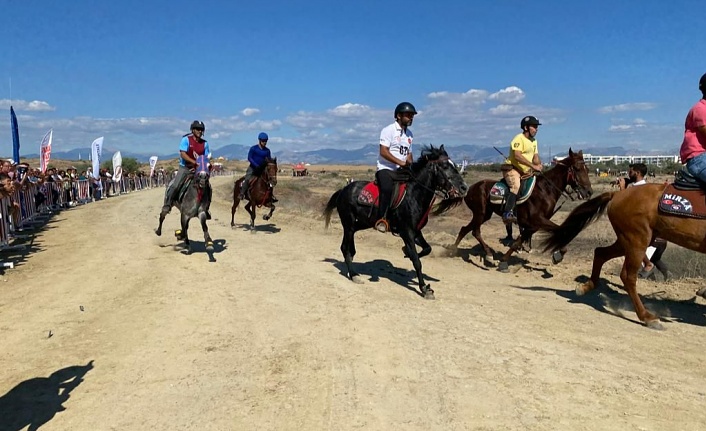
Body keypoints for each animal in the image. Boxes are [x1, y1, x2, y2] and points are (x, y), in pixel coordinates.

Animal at [324, 145, 468, 300]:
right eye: (445, 166)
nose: (464, 187)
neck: (414, 195)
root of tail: (343, 190)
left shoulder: (416, 231)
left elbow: (427, 249)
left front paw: (406, 252)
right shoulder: (406, 232)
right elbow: (417, 261)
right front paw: (424, 289)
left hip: (362, 223)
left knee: (350, 243)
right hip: (348, 223)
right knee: (344, 247)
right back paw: (354, 274)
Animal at [432, 148, 592, 270]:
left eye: (587, 168)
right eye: (577, 168)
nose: (589, 192)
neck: (546, 189)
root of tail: (470, 188)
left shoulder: (532, 225)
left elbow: (517, 242)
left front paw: (504, 261)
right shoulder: (538, 220)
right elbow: (560, 230)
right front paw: (558, 254)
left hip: (485, 214)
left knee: (465, 229)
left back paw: (453, 250)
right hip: (480, 213)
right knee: (475, 231)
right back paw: (488, 255)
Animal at [540, 183, 704, 330]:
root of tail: (617, 194)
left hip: (628, 241)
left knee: (600, 253)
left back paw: (586, 287)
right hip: (637, 241)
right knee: (627, 276)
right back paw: (647, 317)